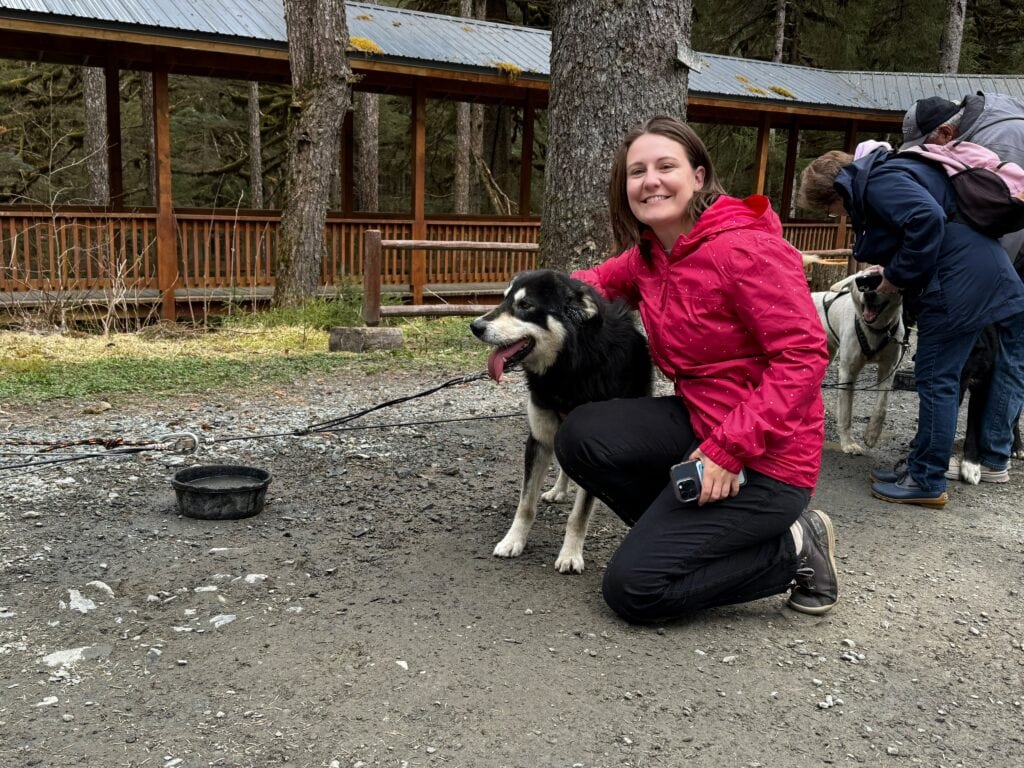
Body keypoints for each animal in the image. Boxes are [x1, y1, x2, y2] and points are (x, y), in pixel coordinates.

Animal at [811, 270, 909, 454]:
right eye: (861, 282)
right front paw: (848, 443)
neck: (875, 330)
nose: (869, 293)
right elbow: (845, 413)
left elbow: (882, 406)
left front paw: (872, 435)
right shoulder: (847, 372)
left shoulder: (888, 369)